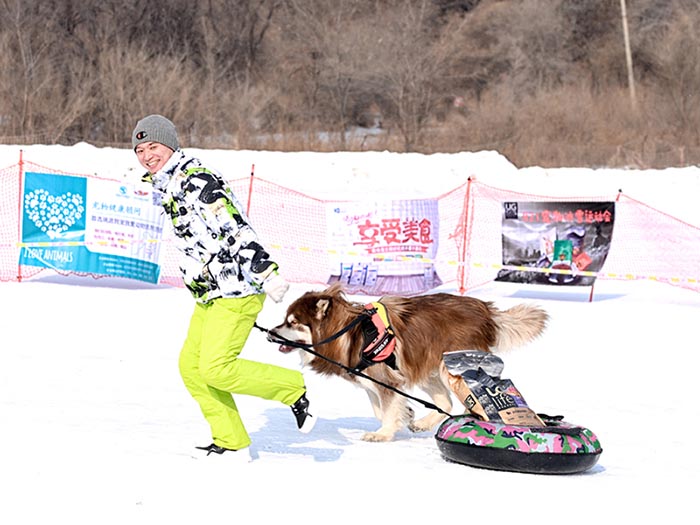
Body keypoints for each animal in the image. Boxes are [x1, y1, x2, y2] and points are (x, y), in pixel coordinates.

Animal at [268, 282, 548, 442]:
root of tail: (487, 311)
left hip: (450, 367)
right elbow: (382, 409)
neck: (346, 331)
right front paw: (404, 416)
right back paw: (423, 423)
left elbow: (387, 409)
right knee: (445, 402)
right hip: (427, 367)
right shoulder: (375, 381)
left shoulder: (385, 378)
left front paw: (382, 434)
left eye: (292, 322)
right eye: (285, 320)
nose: (270, 331)